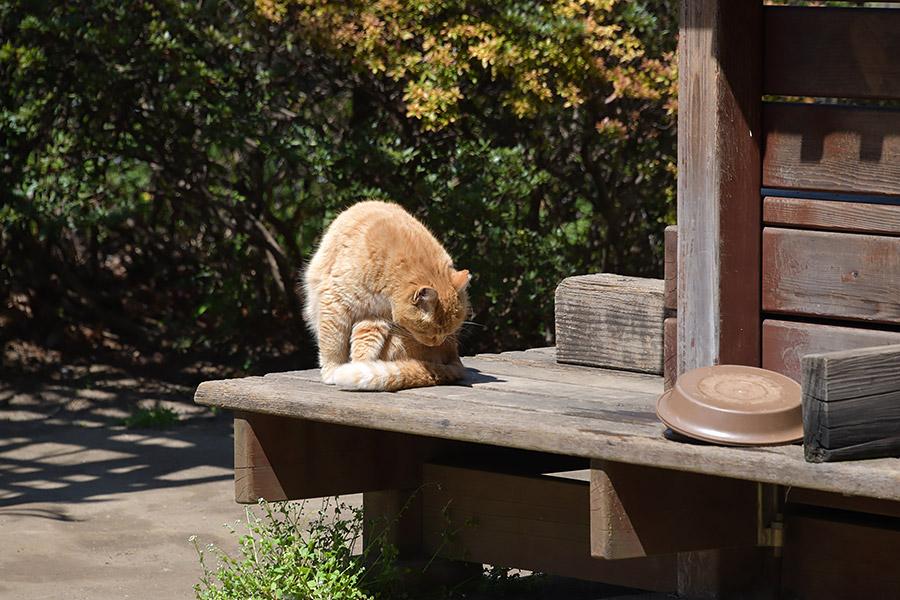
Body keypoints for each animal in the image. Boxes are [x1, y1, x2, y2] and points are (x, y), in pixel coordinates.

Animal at [302, 199, 472, 392]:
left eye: (449, 331)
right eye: (429, 332)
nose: (437, 343)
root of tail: (454, 354)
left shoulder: (375, 316)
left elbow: (364, 347)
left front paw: (359, 370)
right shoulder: (335, 305)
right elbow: (332, 345)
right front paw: (332, 371)